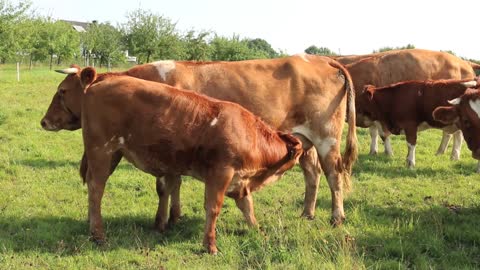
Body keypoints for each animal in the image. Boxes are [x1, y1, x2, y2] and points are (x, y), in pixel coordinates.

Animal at [40, 54, 356, 228]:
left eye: (62, 91)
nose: (44, 121)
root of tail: (320, 58)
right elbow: (173, 184)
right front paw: (174, 217)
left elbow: (166, 185)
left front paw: (165, 220)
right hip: (306, 140)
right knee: (313, 175)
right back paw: (307, 213)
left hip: (327, 137)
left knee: (333, 175)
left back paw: (336, 217)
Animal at [334, 48, 476, 159]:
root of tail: (464, 62)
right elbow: (375, 133)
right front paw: (374, 151)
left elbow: (383, 134)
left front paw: (388, 153)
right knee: (449, 133)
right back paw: (440, 152)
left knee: (457, 134)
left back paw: (454, 155)